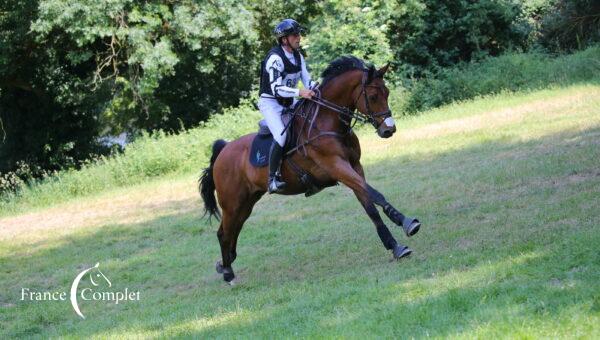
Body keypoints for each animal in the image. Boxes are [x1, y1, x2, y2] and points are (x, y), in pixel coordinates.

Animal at [199, 57, 420, 282]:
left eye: (387, 93)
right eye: (373, 96)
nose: (389, 130)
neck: (328, 122)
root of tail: (223, 150)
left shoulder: (355, 167)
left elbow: (369, 205)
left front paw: (395, 246)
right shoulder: (337, 166)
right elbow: (375, 194)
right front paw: (406, 222)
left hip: (247, 202)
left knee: (233, 230)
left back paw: (225, 264)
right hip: (232, 203)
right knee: (224, 233)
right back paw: (228, 273)